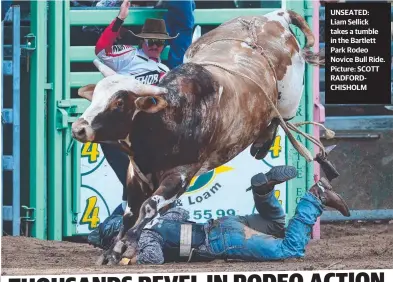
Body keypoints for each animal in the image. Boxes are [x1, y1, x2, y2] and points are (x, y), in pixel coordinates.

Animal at [71, 8, 324, 264]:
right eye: (95, 97)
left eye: (119, 102)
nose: (78, 128)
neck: (170, 118)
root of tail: (277, 15)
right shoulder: (135, 174)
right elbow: (130, 213)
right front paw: (112, 251)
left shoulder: (181, 175)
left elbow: (149, 206)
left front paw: (128, 246)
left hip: (290, 97)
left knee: (279, 118)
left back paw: (263, 144)